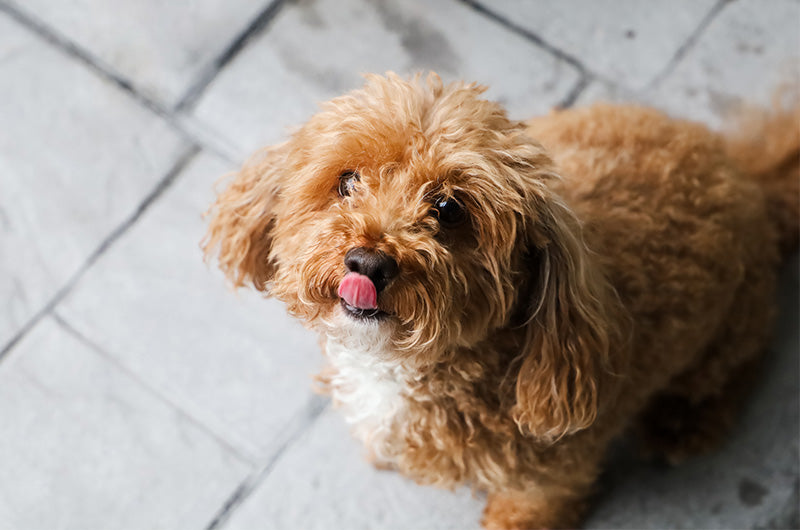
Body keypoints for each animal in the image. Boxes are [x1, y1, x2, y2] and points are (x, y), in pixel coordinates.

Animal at [203, 72, 796, 524]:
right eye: (347, 181)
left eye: (448, 209)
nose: (368, 263)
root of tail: (748, 175)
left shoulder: (555, 473)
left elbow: (529, 509)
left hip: (728, 332)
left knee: (742, 364)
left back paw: (686, 424)